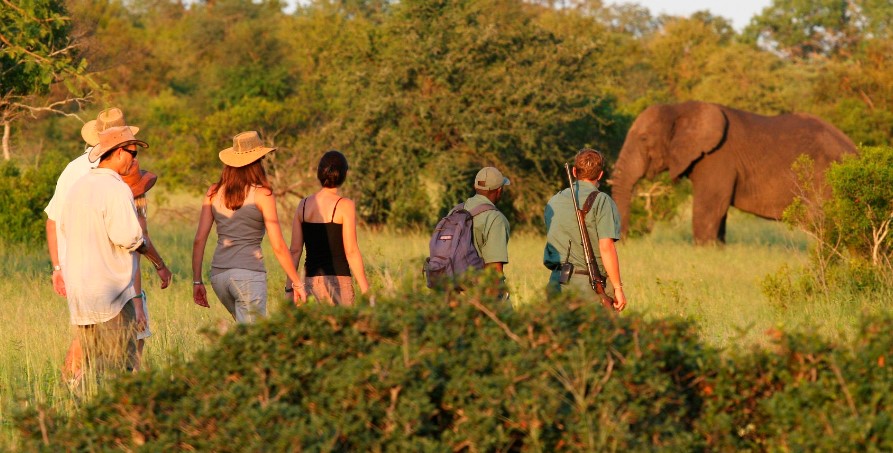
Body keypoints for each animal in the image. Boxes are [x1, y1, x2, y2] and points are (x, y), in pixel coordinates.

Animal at [608, 101, 852, 244]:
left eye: (643, 139)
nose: (623, 240)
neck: (681, 108)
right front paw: (718, 250)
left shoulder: (718, 158)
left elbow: (709, 206)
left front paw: (705, 251)